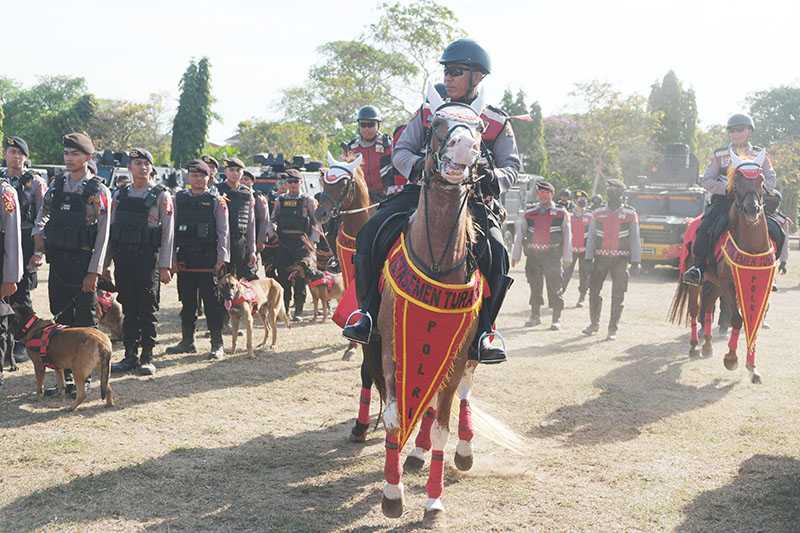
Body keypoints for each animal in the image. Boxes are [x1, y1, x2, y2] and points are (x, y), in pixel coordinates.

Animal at [372, 85, 484, 524]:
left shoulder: (456, 351)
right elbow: (392, 417)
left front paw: (434, 501)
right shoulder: (388, 348)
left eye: (480, 128)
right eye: (436, 123)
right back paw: (415, 454)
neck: (437, 261)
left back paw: (463, 451)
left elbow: (442, 426)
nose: (466, 147)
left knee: (460, 395)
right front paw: (392, 493)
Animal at [668, 150, 776, 382]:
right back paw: (694, 346)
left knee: (708, 307)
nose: (752, 210)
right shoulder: (728, 284)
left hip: (713, 283)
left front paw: (752, 367)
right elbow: (737, 319)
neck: (751, 249)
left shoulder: (759, 286)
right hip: (698, 282)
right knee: (695, 310)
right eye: (737, 181)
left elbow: (753, 323)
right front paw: (732, 359)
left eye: (761, 180)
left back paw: (707, 346)